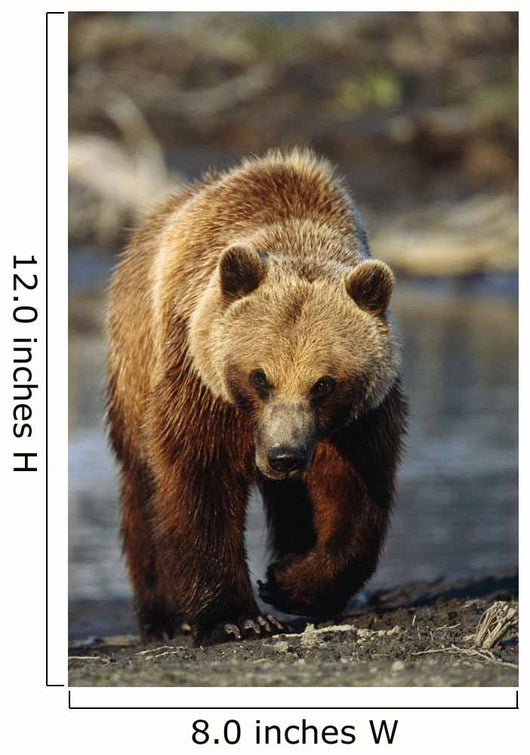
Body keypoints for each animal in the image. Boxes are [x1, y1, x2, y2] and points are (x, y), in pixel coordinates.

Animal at [106, 148, 408, 645]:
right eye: (260, 376)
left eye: (323, 383)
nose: (284, 456)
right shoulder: (201, 381)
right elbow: (200, 478)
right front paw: (236, 617)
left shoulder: (358, 417)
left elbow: (354, 491)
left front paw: (289, 582)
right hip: (135, 358)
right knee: (143, 482)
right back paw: (161, 614)